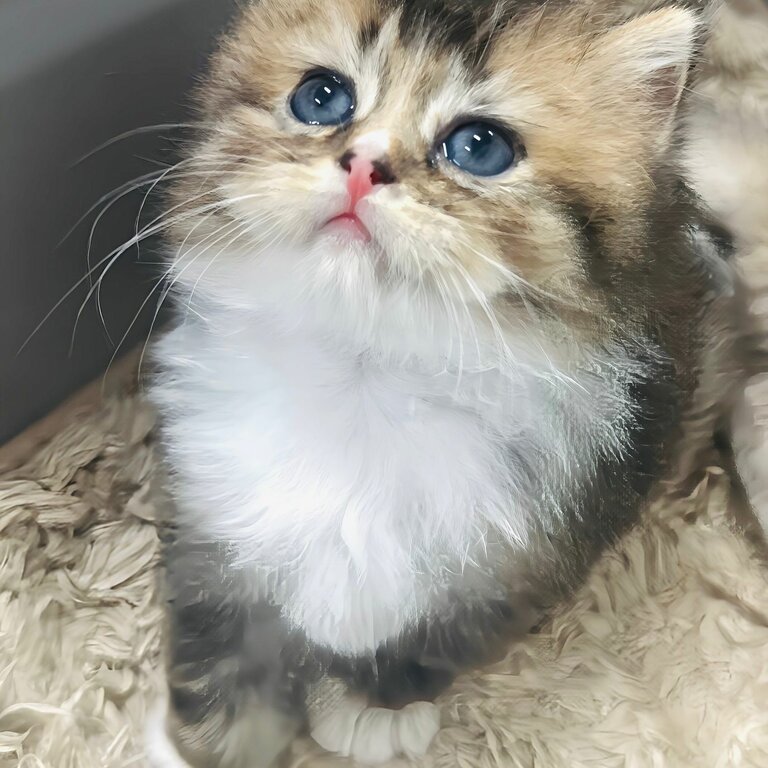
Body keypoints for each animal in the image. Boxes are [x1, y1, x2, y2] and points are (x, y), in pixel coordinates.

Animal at [146, 3, 744, 764]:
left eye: (479, 147)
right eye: (322, 97)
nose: (364, 165)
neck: (364, 374)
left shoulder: (530, 558)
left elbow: (436, 639)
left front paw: (371, 707)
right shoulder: (208, 520)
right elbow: (221, 655)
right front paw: (212, 744)